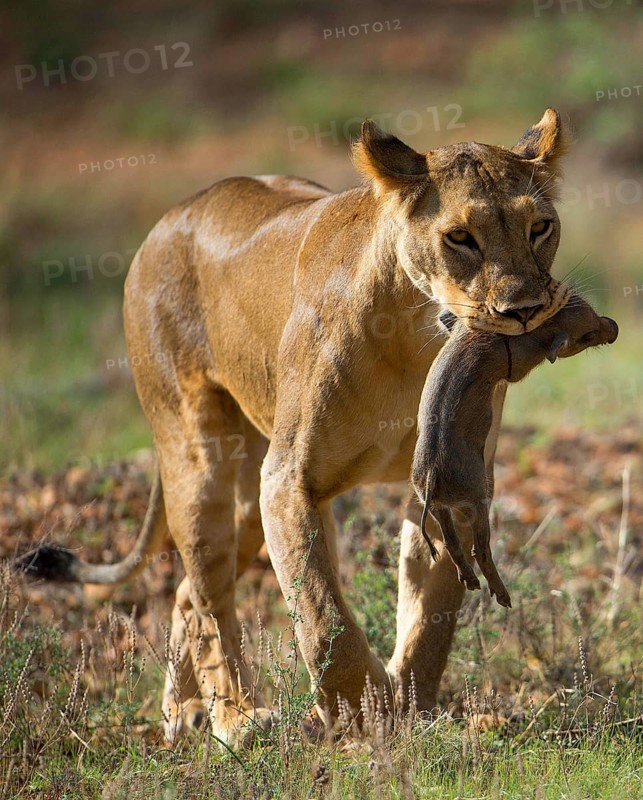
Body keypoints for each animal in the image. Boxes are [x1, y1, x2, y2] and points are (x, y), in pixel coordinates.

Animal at [20, 109, 571, 745]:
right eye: (460, 237)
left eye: (540, 228)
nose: (525, 310)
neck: (415, 339)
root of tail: (172, 216)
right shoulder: (288, 480)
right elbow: (321, 610)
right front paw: (363, 713)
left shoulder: (450, 476)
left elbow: (432, 609)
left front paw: (414, 704)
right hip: (199, 459)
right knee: (210, 595)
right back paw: (236, 718)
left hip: (249, 488)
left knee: (188, 592)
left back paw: (182, 713)